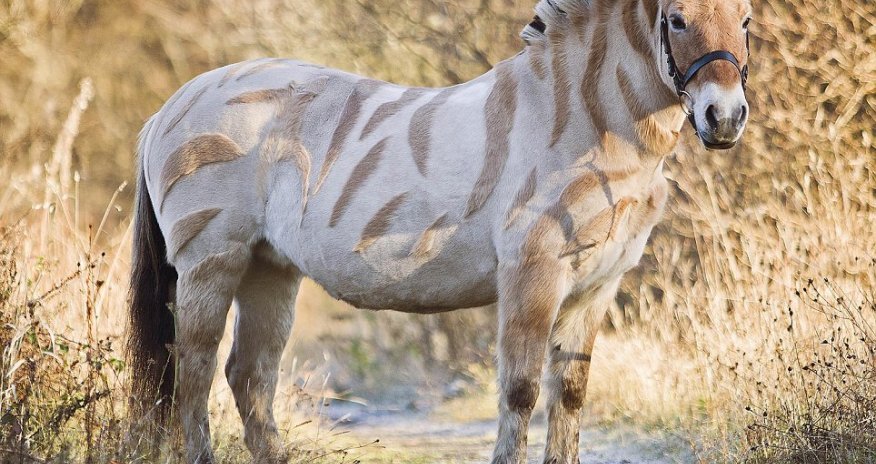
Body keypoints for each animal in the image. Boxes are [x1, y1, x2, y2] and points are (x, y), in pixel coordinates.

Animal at [127, 0, 752, 462]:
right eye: (677, 19)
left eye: (746, 20)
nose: (724, 119)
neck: (583, 123)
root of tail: (168, 109)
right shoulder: (532, 273)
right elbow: (520, 391)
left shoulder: (598, 284)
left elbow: (570, 396)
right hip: (212, 260)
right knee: (194, 370)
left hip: (269, 267)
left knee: (249, 376)